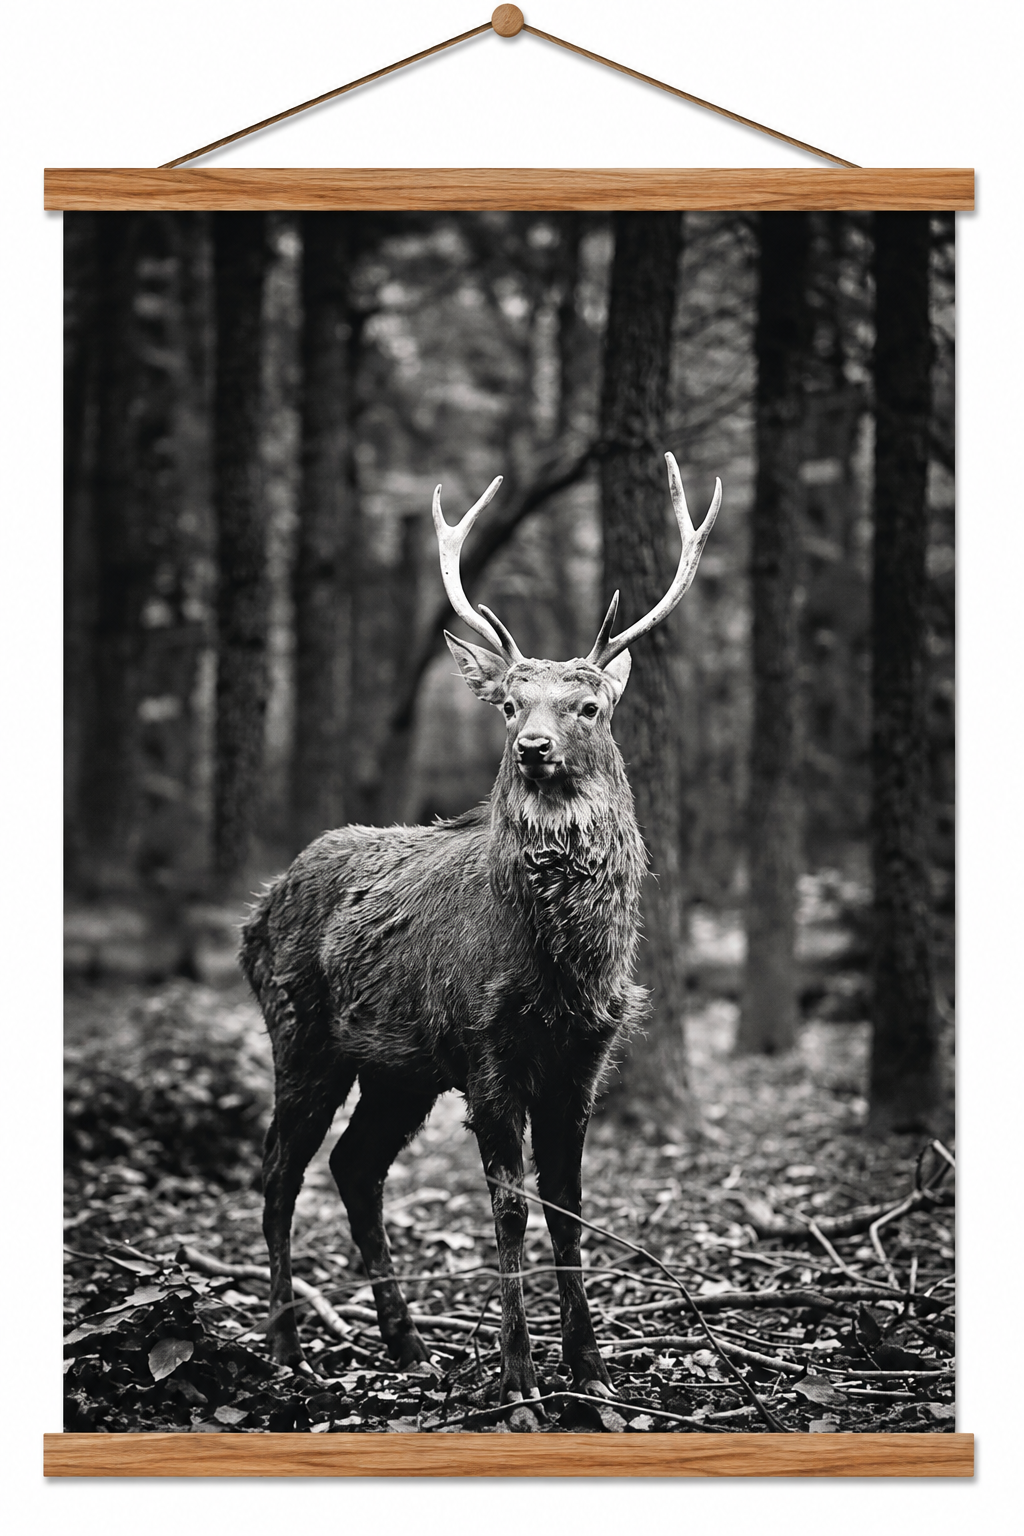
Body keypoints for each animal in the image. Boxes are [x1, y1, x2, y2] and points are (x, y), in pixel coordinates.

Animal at [240, 452, 721, 1427]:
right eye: (506, 704)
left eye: (587, 705)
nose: (534, 746)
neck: (565, 969)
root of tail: (255, 913)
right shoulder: (488, 1050)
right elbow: (507, 1210)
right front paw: (522, 1385)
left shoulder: (585, 1057)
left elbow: (568, 1204)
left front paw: (594, 1375)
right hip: (302, 1033)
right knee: (278, 1174)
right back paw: (288, 1351)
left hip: (398, 1067)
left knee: (354, 1165)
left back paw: (410, 1347)